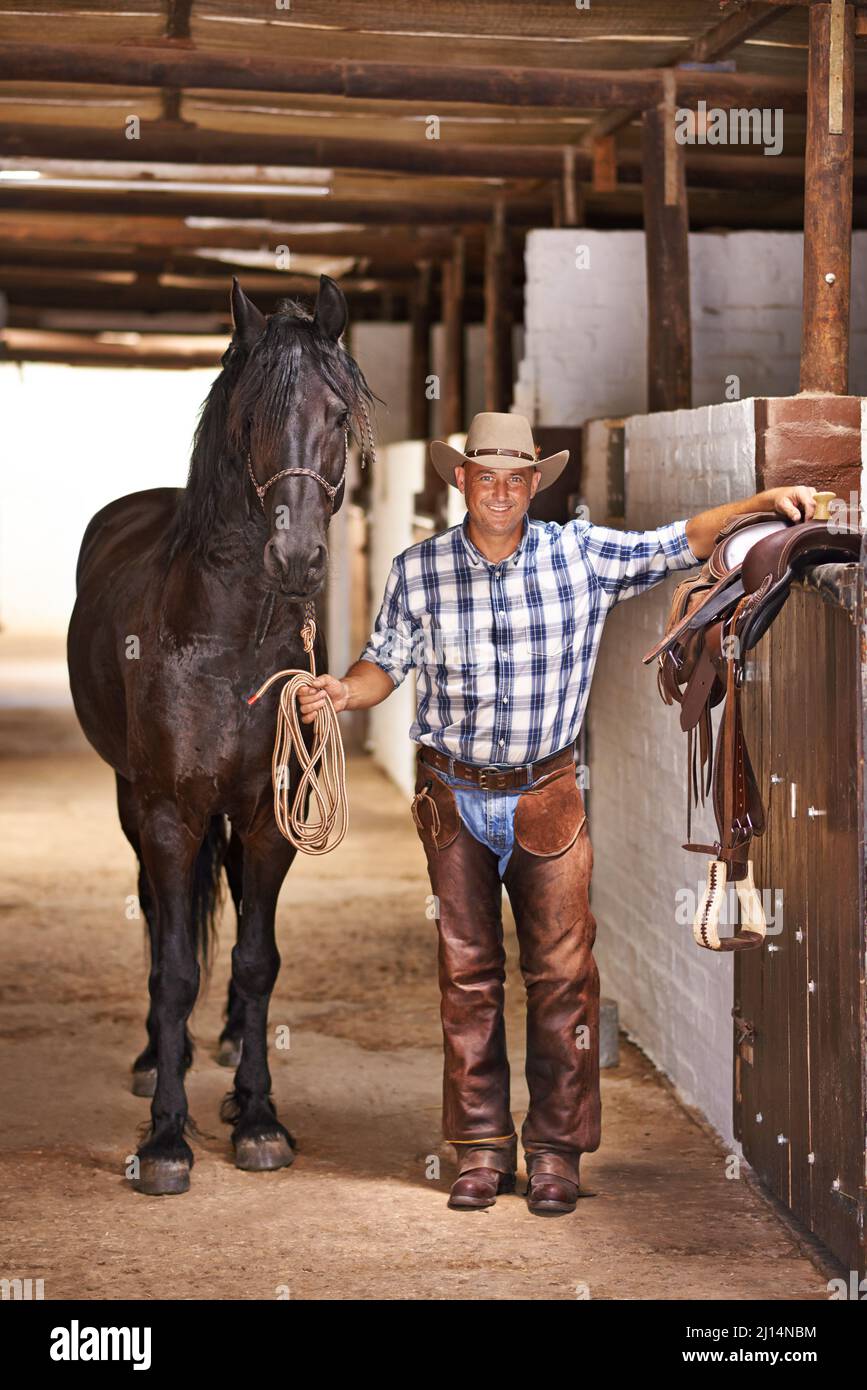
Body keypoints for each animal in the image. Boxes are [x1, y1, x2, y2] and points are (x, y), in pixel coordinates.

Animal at [64, 273, 369, 1195]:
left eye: (336, 415)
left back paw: (232, 1044)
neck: (228, 644)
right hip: (133, 801)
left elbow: (257, 959)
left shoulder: (272, 816)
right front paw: (167, 1135)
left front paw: (259, 1117)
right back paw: (152, 1058)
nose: (297, 559)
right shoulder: (169, 812)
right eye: (250, 419)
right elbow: (173, 965)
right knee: (155, 911)